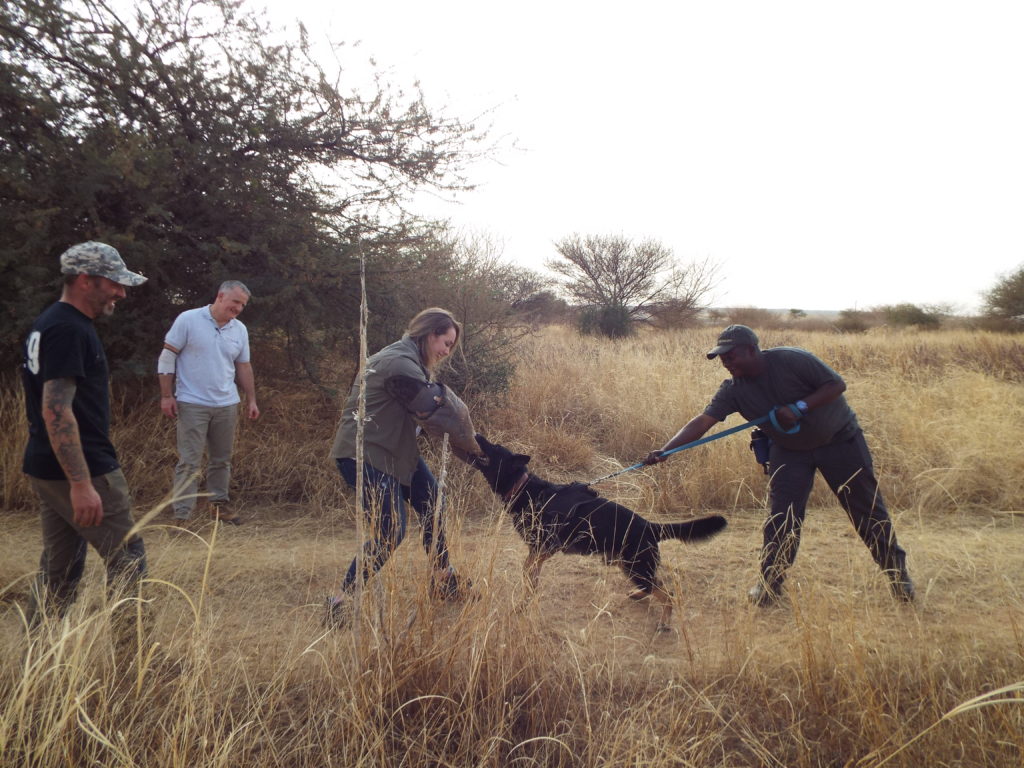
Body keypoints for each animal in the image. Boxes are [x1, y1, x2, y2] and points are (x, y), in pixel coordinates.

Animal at [468, 434, 724, 630]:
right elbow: (531, 577)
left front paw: (524, 599)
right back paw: (639, 595)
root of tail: (649, 525)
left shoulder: (545, 547)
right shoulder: (538, 550)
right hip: (628, 565)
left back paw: (664, 621)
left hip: (636, 567)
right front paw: (526, 599)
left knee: (667, 593)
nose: (477, 435)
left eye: (494, 447)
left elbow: (527, 570)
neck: (524, 488)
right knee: (654, 586)